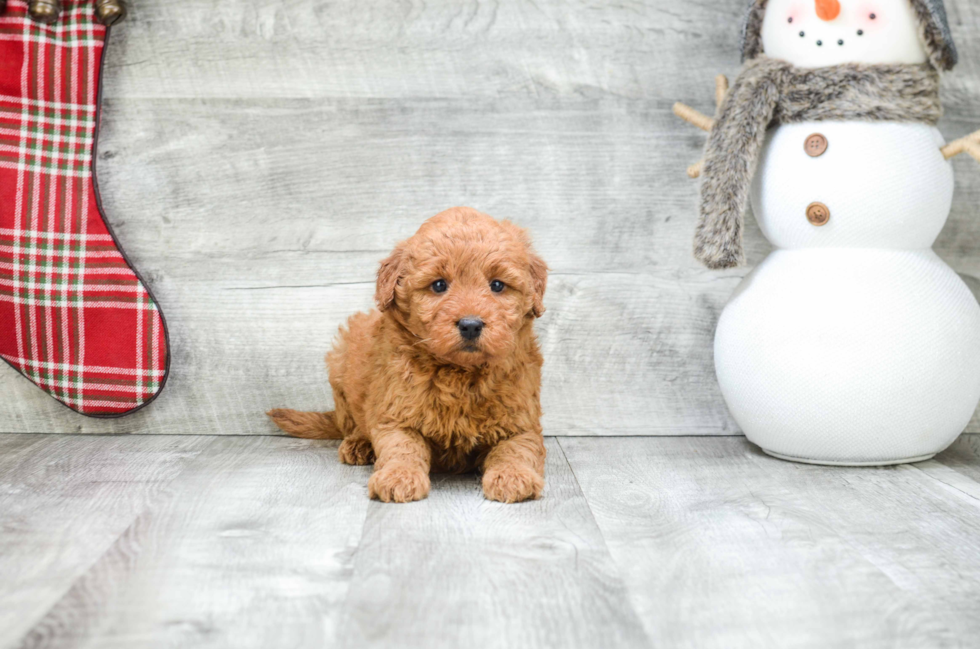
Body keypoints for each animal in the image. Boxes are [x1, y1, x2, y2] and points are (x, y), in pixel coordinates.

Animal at [268, 206, 548, 502]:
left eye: (497, 285)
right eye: (439, 285)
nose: (470, 324)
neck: (459, 373)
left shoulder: (521, 421)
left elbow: (516, 448)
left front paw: (513, 476)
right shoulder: (395, 413)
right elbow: (401, 447)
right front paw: (399, 476)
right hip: (341, 362)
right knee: (350, 423)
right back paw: (358, 443)